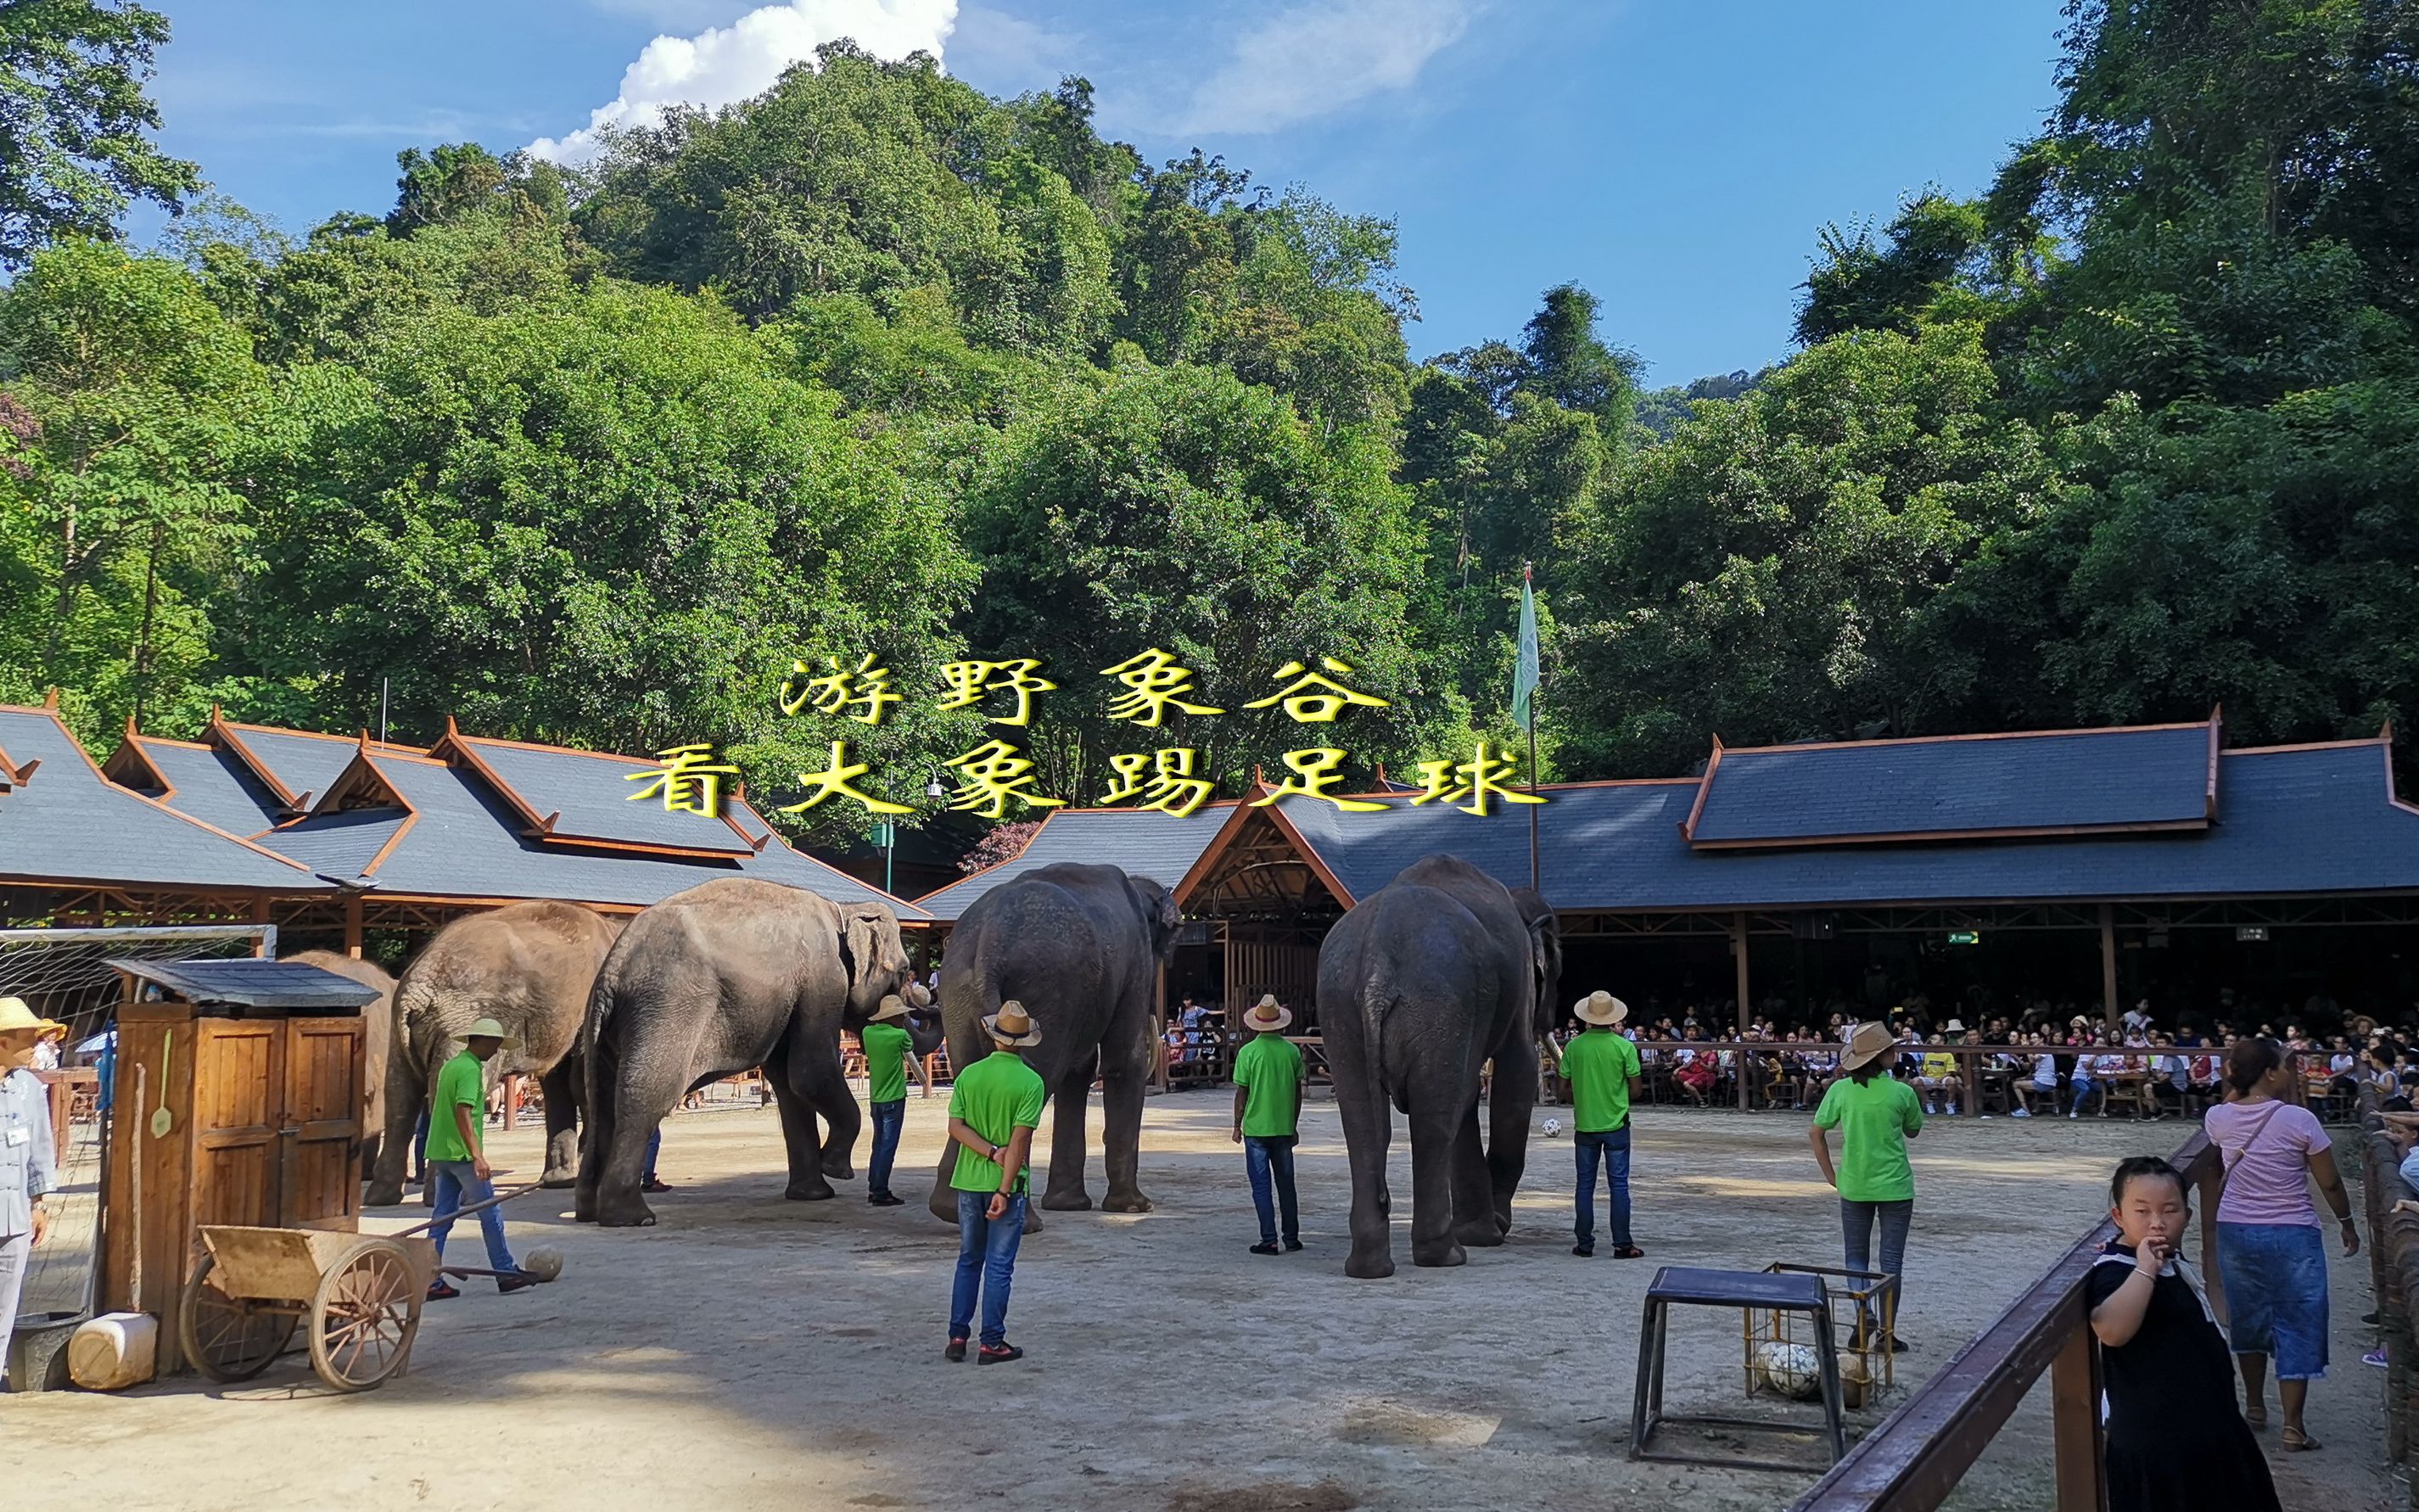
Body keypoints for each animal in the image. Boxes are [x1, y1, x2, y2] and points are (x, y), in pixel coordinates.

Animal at [362, 894, 624, 1204]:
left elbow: (558, 1085)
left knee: (399, 1097)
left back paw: (382, 1197)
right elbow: (580, 1083)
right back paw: (451, 1197)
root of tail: (418, 985)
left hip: (403, 1033)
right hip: (465, 1023)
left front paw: (559, 1180)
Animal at [575, 871, 933, 1229]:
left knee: (602, 1101)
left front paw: (813, 1194)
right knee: (647, 1096)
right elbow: (811, 1073)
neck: (843, 909)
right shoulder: (823, 978)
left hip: (609, 1028)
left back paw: (589, 1211)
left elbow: (789, 1085)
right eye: (904, 970)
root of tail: (613, 967)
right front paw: (834, 1169)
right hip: (664, 1009)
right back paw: (633, 1218)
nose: (925, 996)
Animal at [924, 861, 1180, 1229]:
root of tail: (991, 940)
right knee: (1041, 1076)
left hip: (957, 992)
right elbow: (1123, 1060)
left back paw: (951, 1209)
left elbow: (1080, 1069)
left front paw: (1068, 1206)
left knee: (969, 1077)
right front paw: (1136, 1207)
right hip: (1047, 989)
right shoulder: (1135, 960)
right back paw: (1024, 1222)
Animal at [1315, 851, 1558, 1277]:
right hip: (1439, 1000)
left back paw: (1370, 1266)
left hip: (1339, 1003)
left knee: (1363, 1118)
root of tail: (1378, 957)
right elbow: (1518, 1072)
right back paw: (1446, 1255)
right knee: (1437, 1113)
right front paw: (1493, 1231)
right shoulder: (1520, 984)